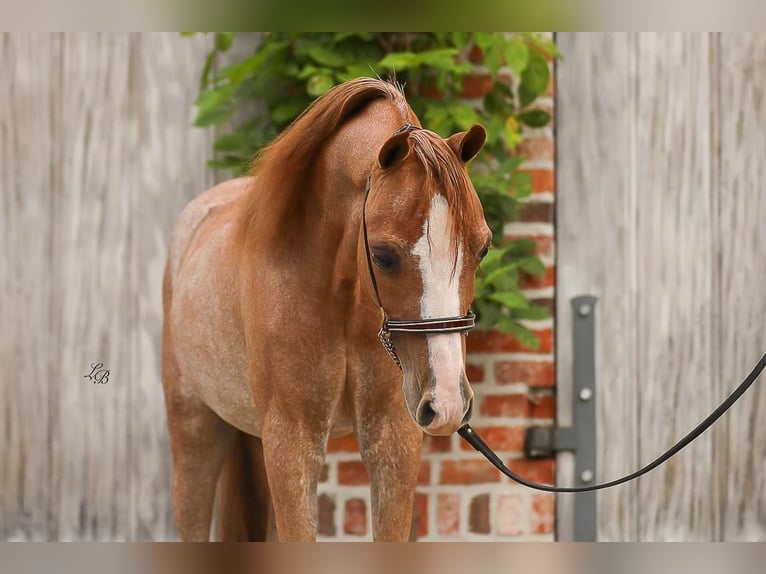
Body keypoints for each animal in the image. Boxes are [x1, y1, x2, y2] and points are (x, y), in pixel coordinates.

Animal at [164, 77, 492, 544]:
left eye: (482, 249)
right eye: (383, 256)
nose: (447, 401)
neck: (340, 299)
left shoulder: (394, 440)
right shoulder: (293, 444)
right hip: (195, 435)